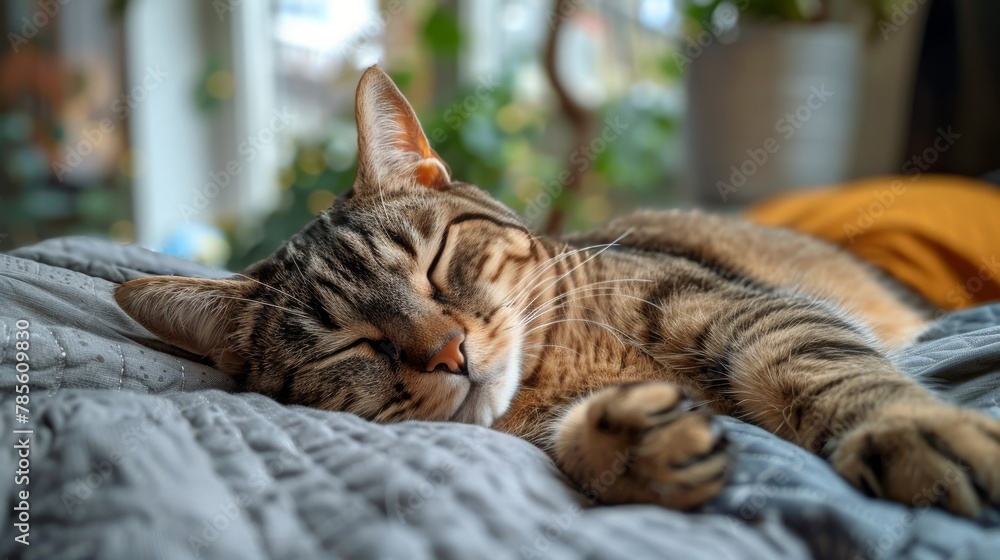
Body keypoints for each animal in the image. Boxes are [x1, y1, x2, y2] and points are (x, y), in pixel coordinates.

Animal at [117, 68, 1000, 520]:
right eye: (351, 345)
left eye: (434, 263)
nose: (448, 352)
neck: (560, 367)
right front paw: (630, 445)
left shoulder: (745, 308)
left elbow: (825, 366)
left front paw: (913, 429)